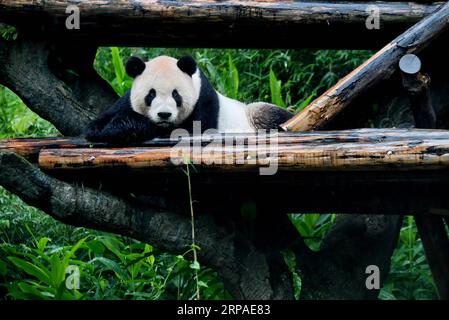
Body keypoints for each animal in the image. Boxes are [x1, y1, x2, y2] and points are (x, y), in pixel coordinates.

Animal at [84, 55, 294, 144]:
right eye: (151, 94)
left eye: (176, 94)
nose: (164, 115)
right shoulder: (127, 100)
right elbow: (99, 121)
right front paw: (104, 127)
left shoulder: (203, 102)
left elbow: (186, 130)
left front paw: (119, 128)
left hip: (253, 114)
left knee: (268, 114)